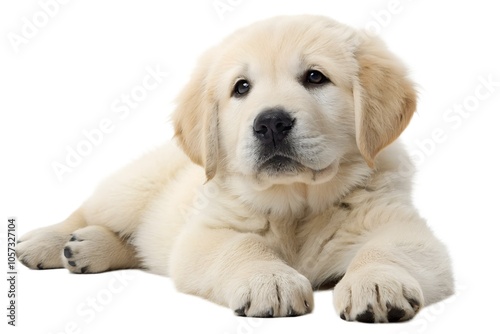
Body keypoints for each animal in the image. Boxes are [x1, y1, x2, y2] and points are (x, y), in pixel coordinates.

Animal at [16, 14, 454, 322]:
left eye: (316, 77)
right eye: (241, 87)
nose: (271, 123)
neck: (297, 204)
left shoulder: (400, 224)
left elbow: (387, 246)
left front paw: (377, 282)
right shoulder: (206, 233)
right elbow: (242, 245)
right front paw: (270, 280)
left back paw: (87, 248)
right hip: (131, 187)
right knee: (88, 212)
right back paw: (48, 242)